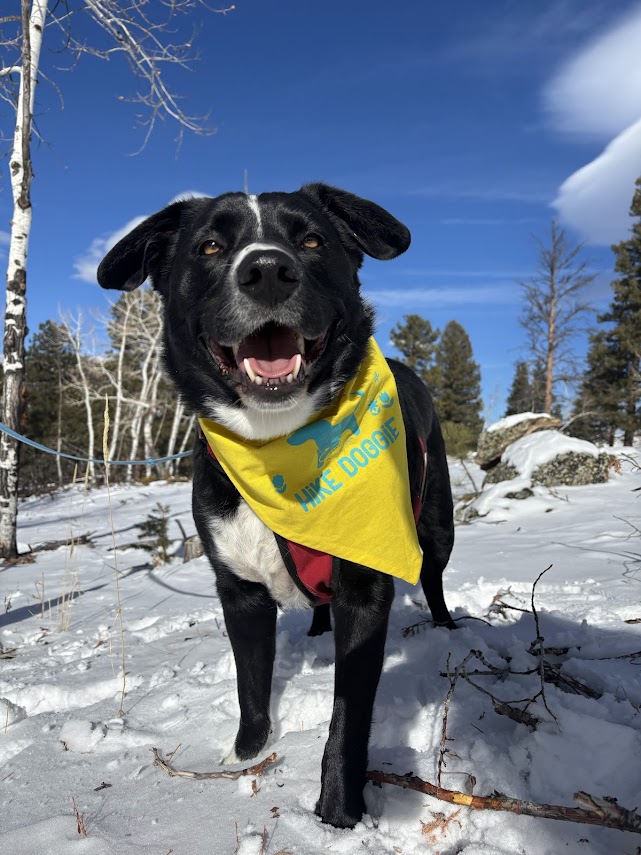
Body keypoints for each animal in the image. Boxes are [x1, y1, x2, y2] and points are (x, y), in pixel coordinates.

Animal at [97, 186, 452, 828]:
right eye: (210, 245)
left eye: (311, 239)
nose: (266, 270)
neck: (275, 444)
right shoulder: (238, 588)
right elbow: (251, 682)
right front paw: (245, 754)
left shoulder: (364, 588)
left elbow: (349, 715)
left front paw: (338, 810)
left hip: (437, 522)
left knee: (434, 577)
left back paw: (446, 628)